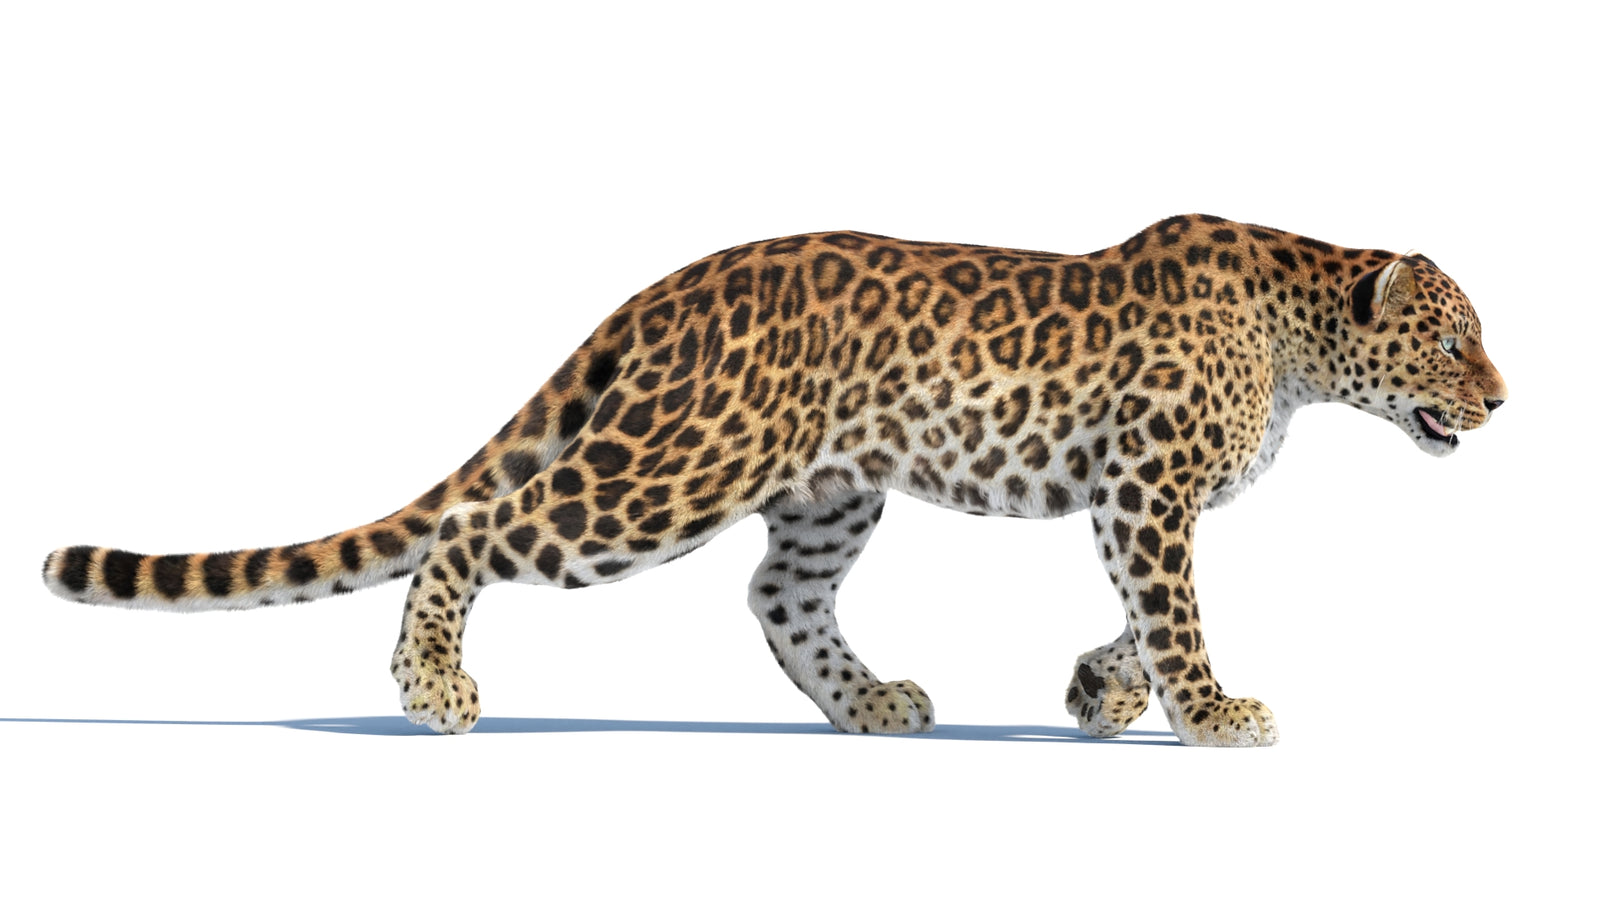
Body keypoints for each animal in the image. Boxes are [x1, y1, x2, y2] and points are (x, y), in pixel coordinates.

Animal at [42, 214, 1507, 746]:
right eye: (1452, 340)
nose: (1503, 400)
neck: (1304, 341)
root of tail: (674, 284)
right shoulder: (1148, 491)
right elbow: (1180, 617)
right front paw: (1211, 715)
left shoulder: (1125, 499)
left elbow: (1137, 620)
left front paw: (1101, 693)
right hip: (672, 472)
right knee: (479, 519)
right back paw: (433, 689)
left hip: (828, 491)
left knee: (779, 601)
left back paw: (874, 705)